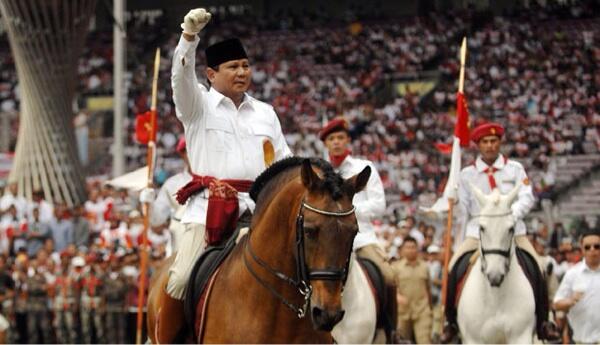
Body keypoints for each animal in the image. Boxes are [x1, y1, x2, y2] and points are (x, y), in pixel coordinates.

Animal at [458, 187, 536, 342]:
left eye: (511, 229)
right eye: (482, 228)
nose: (495, 275)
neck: (495, 297)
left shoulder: (520, 336)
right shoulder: (473, 339)